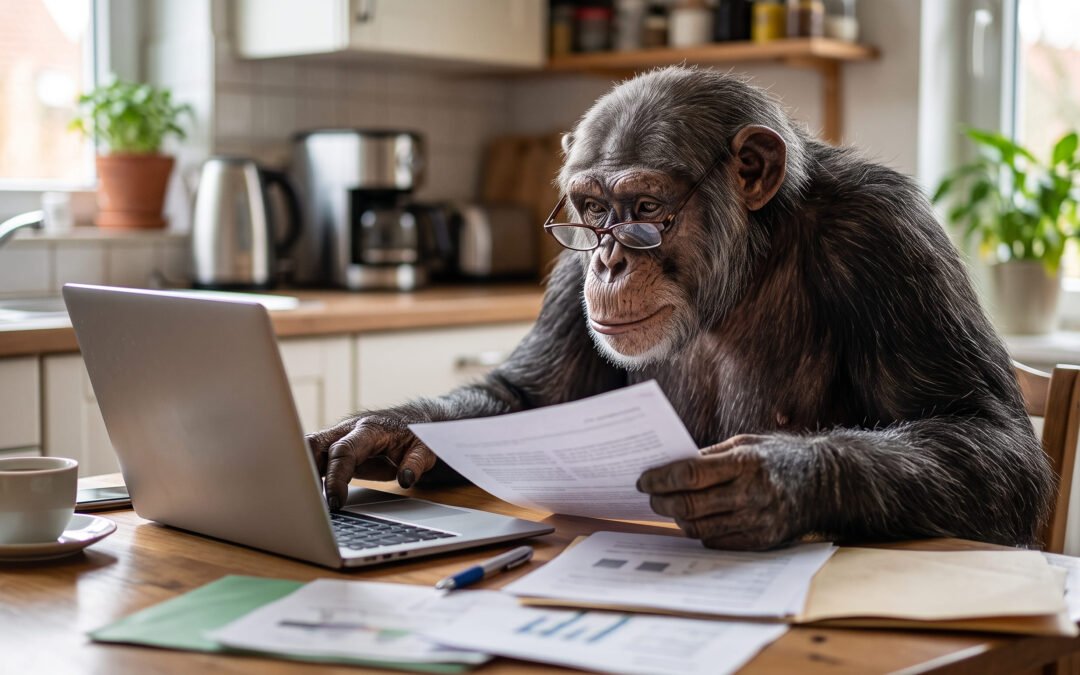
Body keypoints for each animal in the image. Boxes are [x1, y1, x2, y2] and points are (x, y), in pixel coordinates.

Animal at [308, 66, 1054, 551]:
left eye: (645, 208)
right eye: (591, 211)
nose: (608, 260)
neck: (750, 263)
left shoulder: (888, 234)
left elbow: (986, 431)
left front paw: (768, 481)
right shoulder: (569, 264)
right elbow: (531, 393)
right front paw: (386, 431)